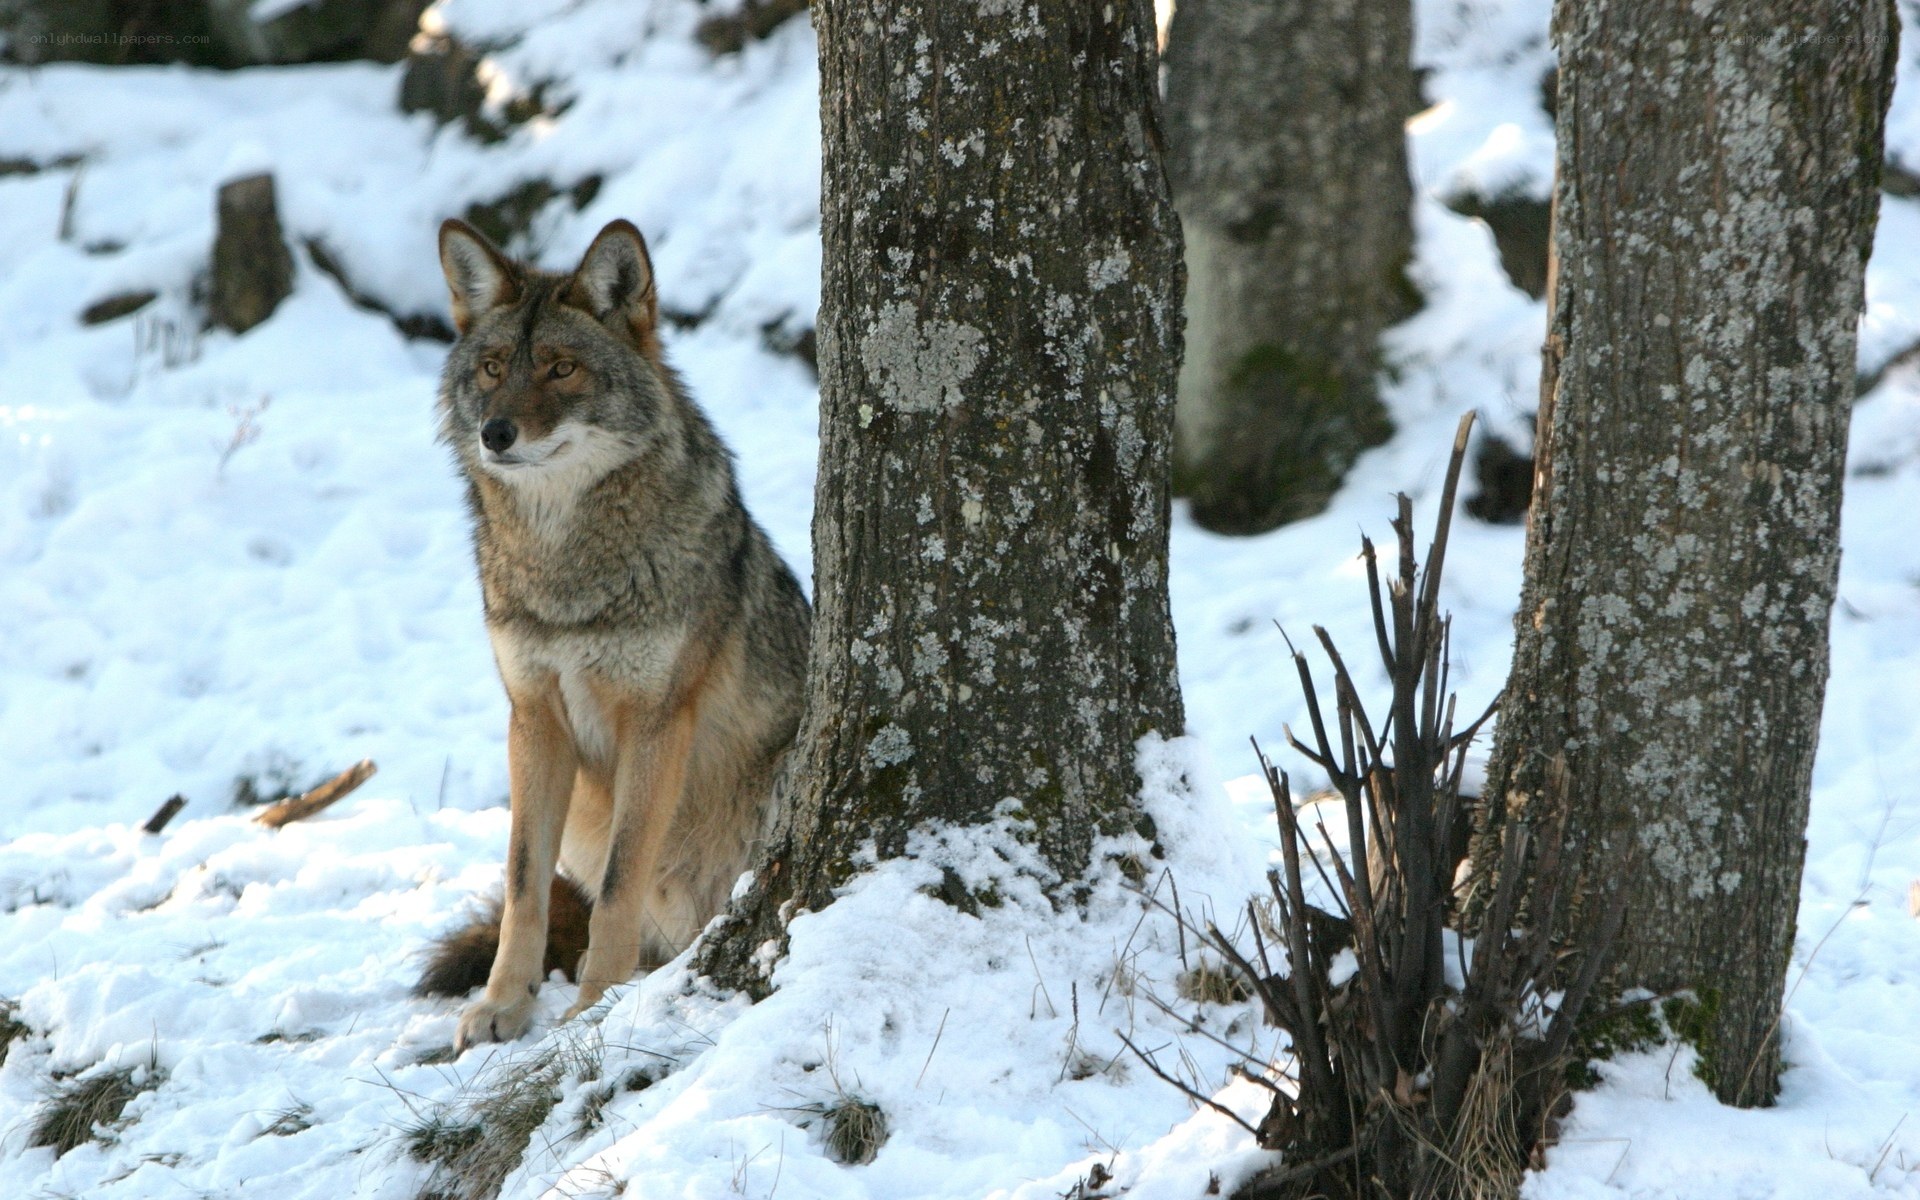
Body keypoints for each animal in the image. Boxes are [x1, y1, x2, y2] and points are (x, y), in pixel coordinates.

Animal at [415, 217, 810, 1052]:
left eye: (561, 368)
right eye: (494, 368)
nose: (495, 433)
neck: (567, 571)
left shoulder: (657, 721)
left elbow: (626, 877)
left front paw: (596, 1003)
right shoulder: (533, 718)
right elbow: (523, 882)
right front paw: (504, 1004)